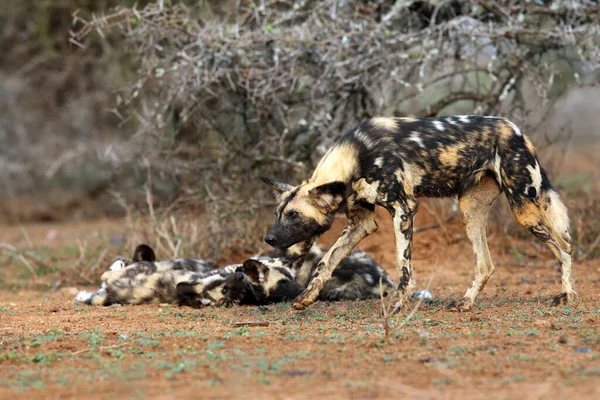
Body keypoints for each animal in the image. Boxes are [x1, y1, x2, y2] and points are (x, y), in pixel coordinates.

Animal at [264, 115, 576, 312]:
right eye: (279, 213)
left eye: (294, 215)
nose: (269, 239)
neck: (358, 157)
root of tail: (517, 131)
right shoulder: (361, 223)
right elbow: (326, 262)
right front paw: (306, 297)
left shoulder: (403, 209)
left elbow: (403, 269)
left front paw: (399, 306)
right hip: (470, 211)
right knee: (485, 264)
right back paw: (466, 303)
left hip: (524, 210)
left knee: (565, 248)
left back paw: (569, 295)